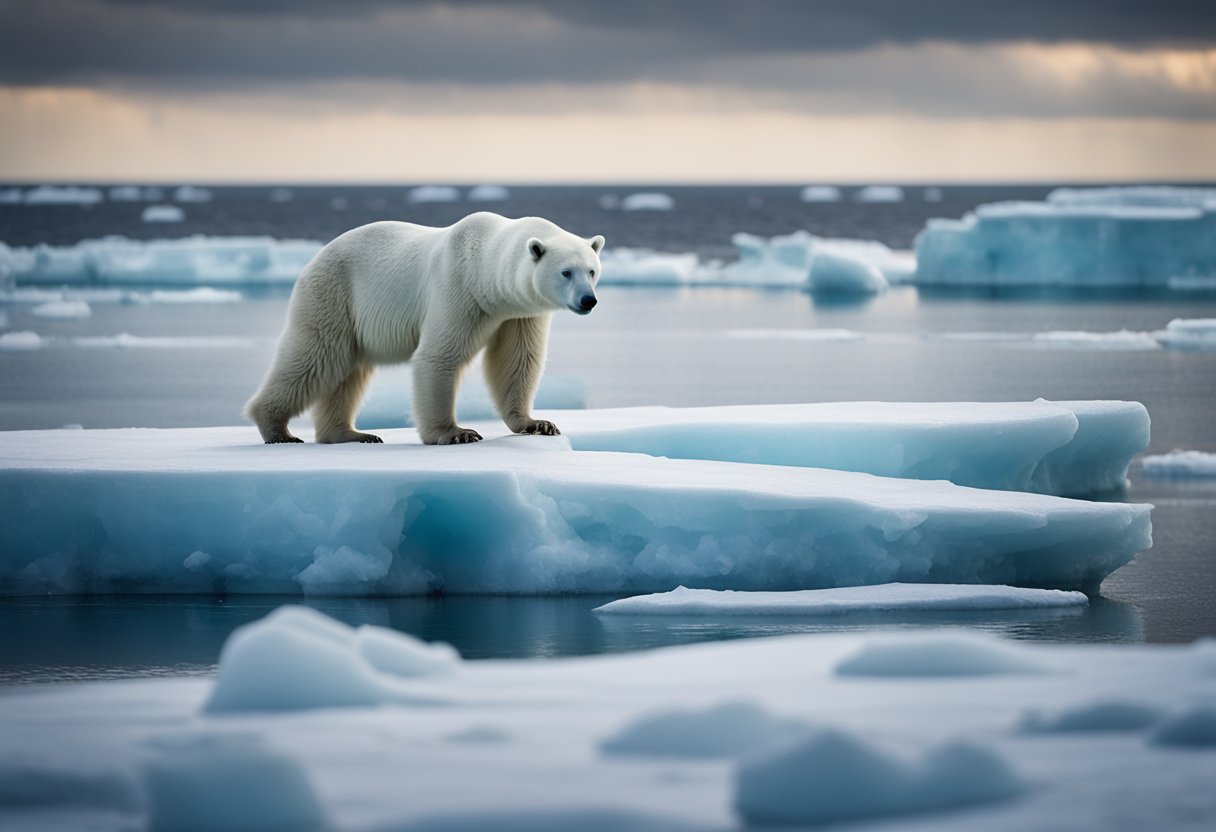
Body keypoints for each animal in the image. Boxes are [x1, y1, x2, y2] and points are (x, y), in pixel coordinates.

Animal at [245, 216, 603, 447]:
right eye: (566, 272)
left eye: (592, 270)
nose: (589, 300)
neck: (484, 267)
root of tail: (312, 260)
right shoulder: (458, 288)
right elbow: (439, 355)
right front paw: (456, 433)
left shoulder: (520, 313)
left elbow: (518, 359)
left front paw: (537, 423)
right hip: (334, 294)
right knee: (316, 356)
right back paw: (278, 429)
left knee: (347, 372)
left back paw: (351, 434)